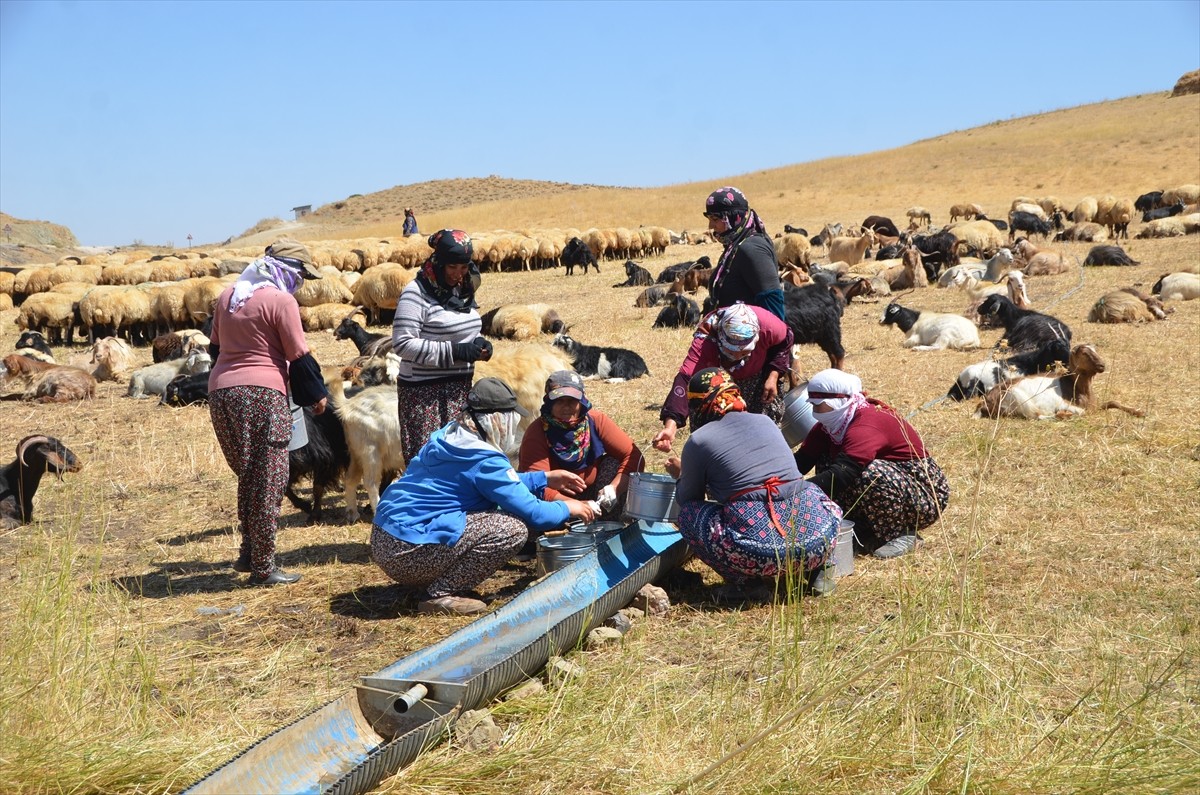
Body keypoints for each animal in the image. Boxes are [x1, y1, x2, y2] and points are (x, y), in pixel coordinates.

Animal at [974, 348, 1142, 427]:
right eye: (1084, 353)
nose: (1102, 365)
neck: (1075, 386)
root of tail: (985, 401)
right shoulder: (1065, 404)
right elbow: (1082, 412)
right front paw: (1064, 413)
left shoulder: (1095, 405)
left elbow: (1113, 402)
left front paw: (1139, 412)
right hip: (1018, 397)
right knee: (1037, 416)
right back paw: (1063, 415)